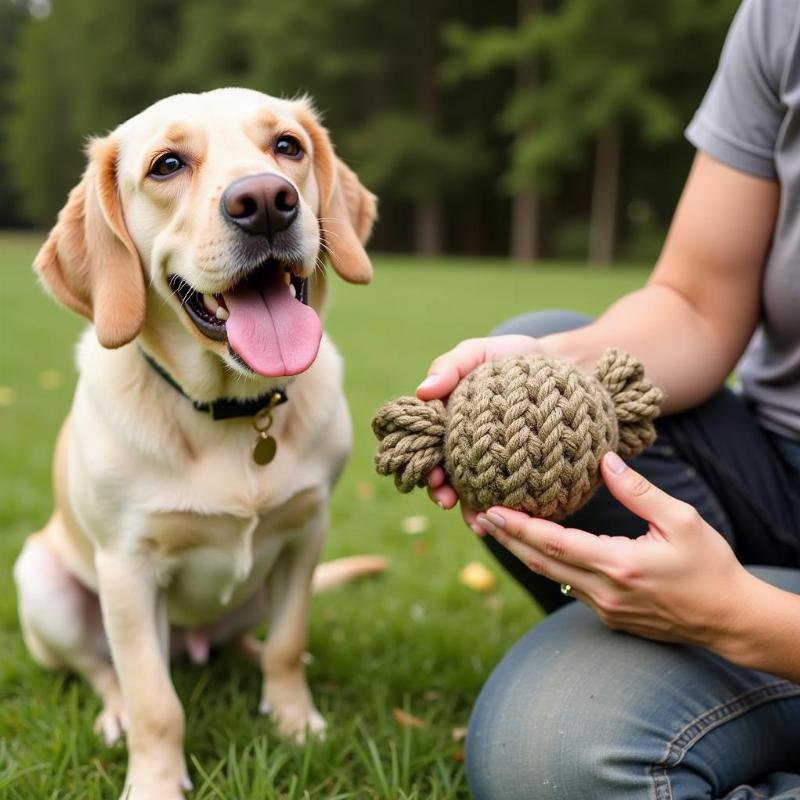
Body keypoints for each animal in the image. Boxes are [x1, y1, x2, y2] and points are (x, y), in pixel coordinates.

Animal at [12, 89, 384, 800]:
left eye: (288, 146)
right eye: (167, 164)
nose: (265, 201)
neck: (234, 412)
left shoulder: (306, 533)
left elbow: (288, 643)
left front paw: (296, 723)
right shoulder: (127, 570)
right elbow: (155, 700)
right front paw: (155, 781)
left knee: (250, 641)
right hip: (43, 582)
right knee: (101, 670)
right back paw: (114, 716)